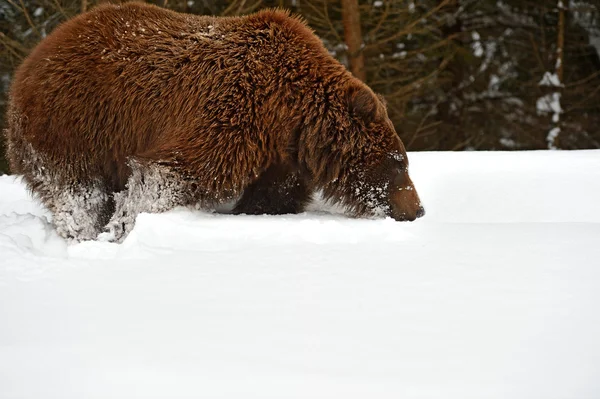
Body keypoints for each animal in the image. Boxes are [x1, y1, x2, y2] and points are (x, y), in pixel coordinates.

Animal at [5, 1, 426, 242]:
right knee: (78, 193)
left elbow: (274, 196)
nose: (418, 209)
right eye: (397, 163)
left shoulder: (279, 155)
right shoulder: (229, 110)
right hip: (72, 121)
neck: (289, 115)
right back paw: (84, 232)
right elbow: (170, 173)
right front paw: (123, 229)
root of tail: (29, 61)